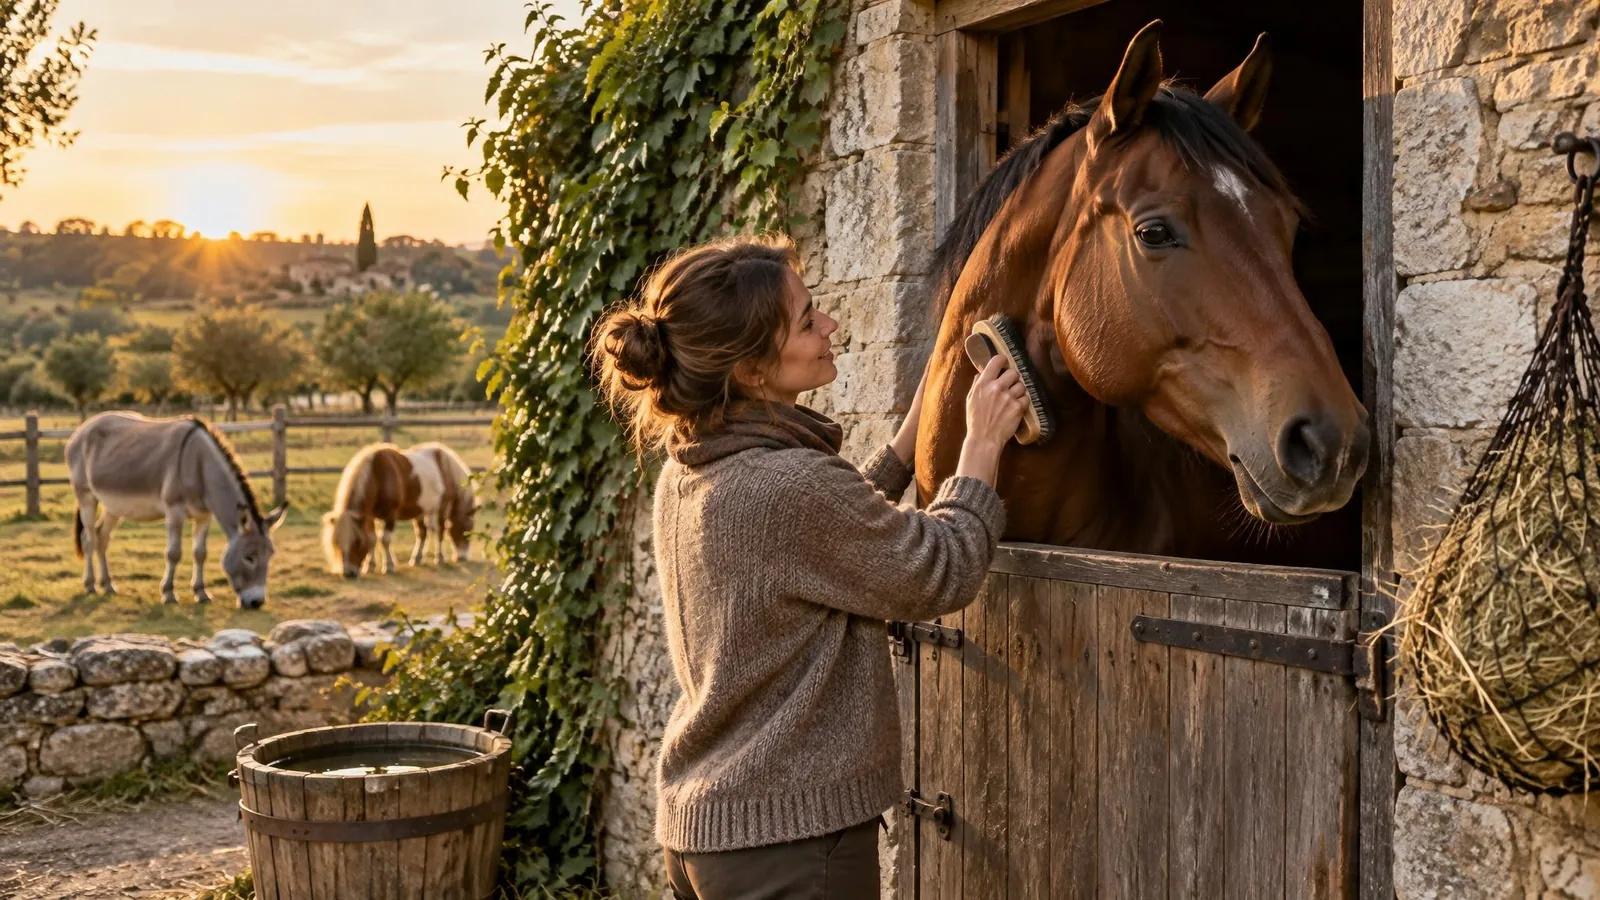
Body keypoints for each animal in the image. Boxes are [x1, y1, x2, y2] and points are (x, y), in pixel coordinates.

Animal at [65, 412, 287, 608]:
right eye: (249, 557)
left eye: (270, 555)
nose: (257, 603)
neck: (199, 464)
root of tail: (83, 428)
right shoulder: (174, 511)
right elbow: (174, 553)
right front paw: (169, 594)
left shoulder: (204, 515)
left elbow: (200, 553)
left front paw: (201, 593)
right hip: (86, 497)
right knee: (89, 539)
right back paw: (90, 585)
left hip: (113, 506)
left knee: (101, 537)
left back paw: (108, 585)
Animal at [322, 443, 424, 578]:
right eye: (336, 542)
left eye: (357, 542)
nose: (348, 573)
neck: (378, 475)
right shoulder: (369, 516)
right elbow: (372, 539)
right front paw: (370, 565)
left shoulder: (390, 515)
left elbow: (385, 539)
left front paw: (389, 566)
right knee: (422, 532)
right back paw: (418, 558)